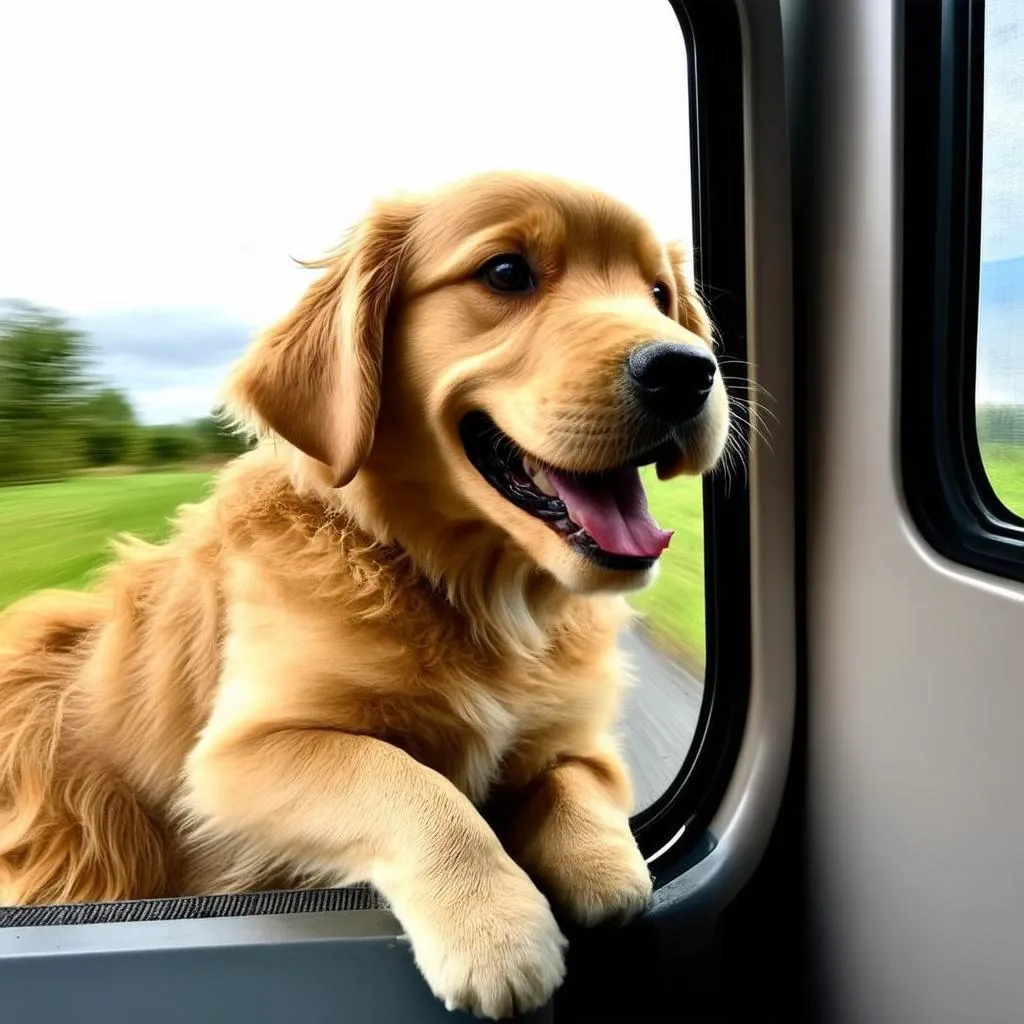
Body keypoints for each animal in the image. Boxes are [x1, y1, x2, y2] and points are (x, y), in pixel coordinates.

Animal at [0, 172, 729, 1019]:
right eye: (506, 272)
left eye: (659, 294)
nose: (688, 371)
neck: (471, 592)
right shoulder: (235, 755)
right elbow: (407, 782)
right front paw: (497, 929)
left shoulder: (580, 737)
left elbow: (578, 781)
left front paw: (602, 862)